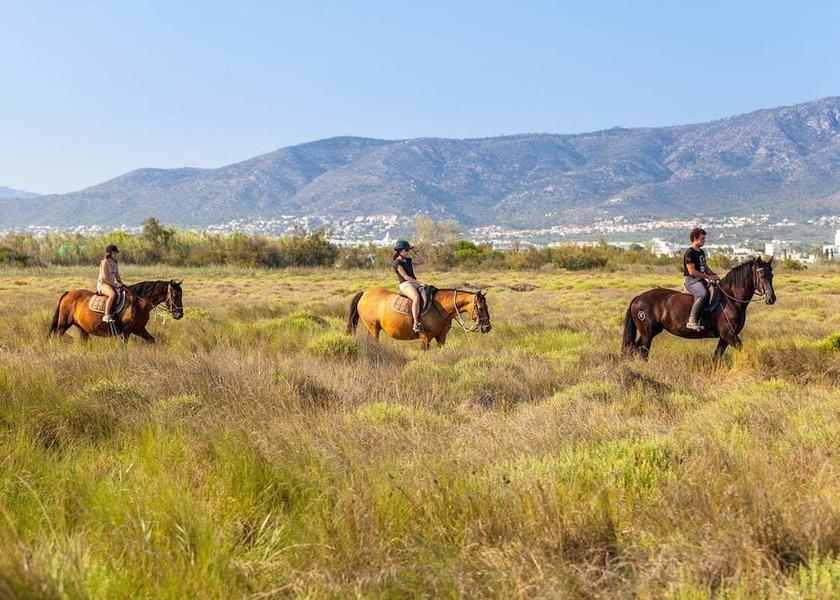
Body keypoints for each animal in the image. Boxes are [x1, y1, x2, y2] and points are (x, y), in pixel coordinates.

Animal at [49, 280, 184, 342]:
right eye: (175, 295)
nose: (179, 314)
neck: (139, 303)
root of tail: (68, 293)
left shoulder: (139, 329)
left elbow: (152, 340)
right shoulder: (126, 331)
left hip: (83, 329)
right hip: (64, 324)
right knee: (56, 336)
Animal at [347, 287, 491, 349]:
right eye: (480, 308)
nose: (487, 327)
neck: (439, 308)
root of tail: (365, 293)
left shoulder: (441, 337)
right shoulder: (425, 338)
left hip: (372, 329)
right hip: (374, 329)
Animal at [622, 257, 776, 360]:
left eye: (772, 275)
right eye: (761, 274)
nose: (771, 298)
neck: (731, 299)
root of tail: (637, 298)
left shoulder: (725, 338)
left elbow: (716, 357)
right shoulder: (729, 334)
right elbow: (742, 350)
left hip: (649, 332)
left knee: (634, 349)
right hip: (647, 333)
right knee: (642, 352)